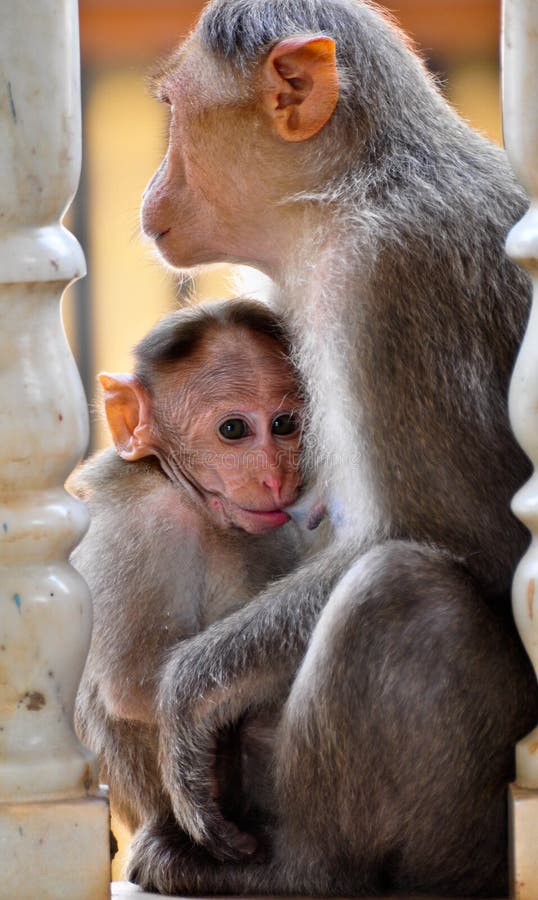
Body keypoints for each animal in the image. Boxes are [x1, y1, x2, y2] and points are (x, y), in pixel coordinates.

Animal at [126, 0, 538, 896]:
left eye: (174, 112)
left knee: (405, 594)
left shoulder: (388, 280)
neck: (338, 195)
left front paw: (189, 694)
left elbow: (479, 540)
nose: (150, 186)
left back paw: (300, 869)